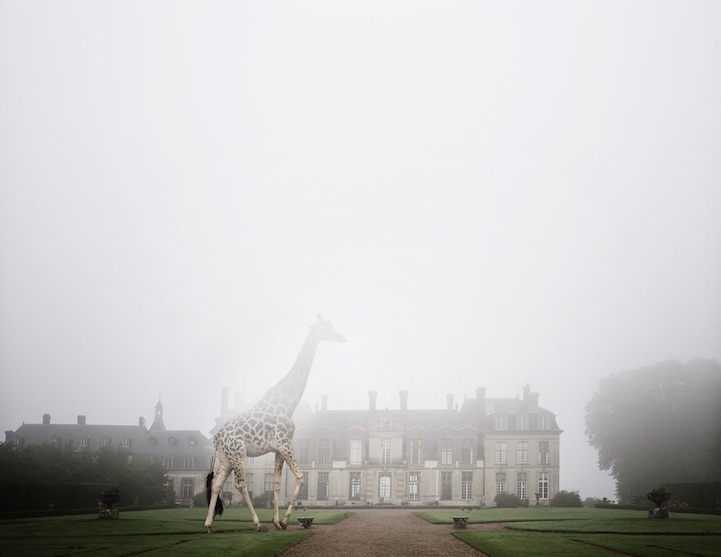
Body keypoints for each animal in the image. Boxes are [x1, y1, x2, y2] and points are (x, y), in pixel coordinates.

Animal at [204, 314, 344, 532]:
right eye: (327, 327)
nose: (341, 338)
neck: (288, 402)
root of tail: (218, 435)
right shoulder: (285, 444)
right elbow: (300, 476)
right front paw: (284, 520)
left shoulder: (278, 449)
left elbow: (278, 484)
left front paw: (277, 522)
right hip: (238, 454)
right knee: (240, 484)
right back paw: (257, 523)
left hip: (226, 458)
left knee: (217, 483)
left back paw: (209, 525)